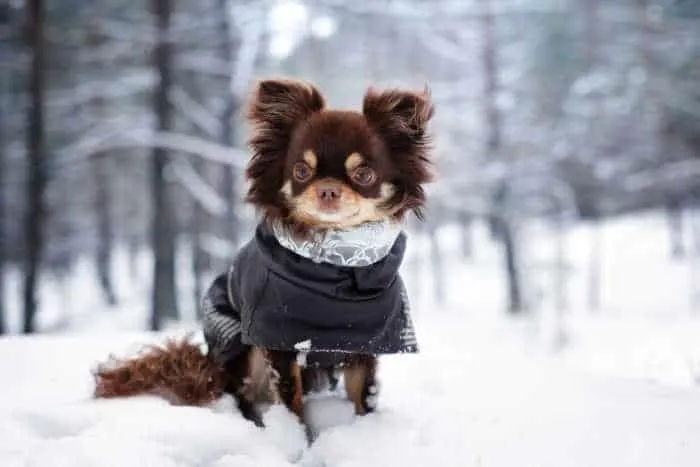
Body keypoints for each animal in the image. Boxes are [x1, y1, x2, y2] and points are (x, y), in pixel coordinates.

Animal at [93, 78, 432, 434]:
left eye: (364, 175)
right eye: (301, 171)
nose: (327, 189)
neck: (335, 265)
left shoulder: (364, 346)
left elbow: (363, 395)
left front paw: (365, 429)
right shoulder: (278, 345)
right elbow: (291, 399)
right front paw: (299, 437)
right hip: (241, 351)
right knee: (241, 393)